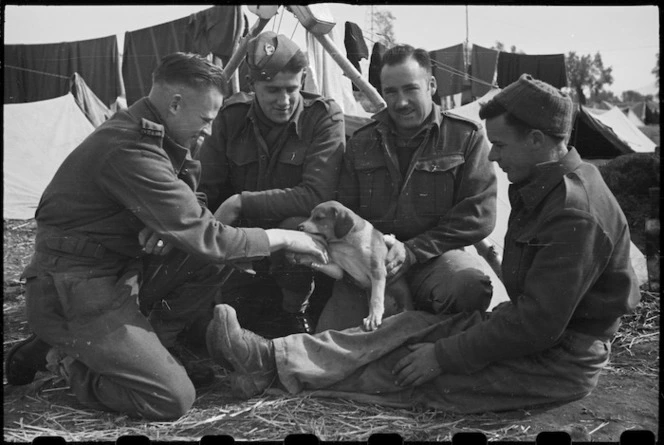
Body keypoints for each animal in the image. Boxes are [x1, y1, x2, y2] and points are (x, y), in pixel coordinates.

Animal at [294, 201, 410, 330]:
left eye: (319, 218)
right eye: (310, 215)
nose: (298, 227)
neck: (345, 243)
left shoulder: (377, 271)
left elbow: (376, 298)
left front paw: (373, 318)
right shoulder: (339, 270)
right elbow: (320, 264)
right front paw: (303, 257)